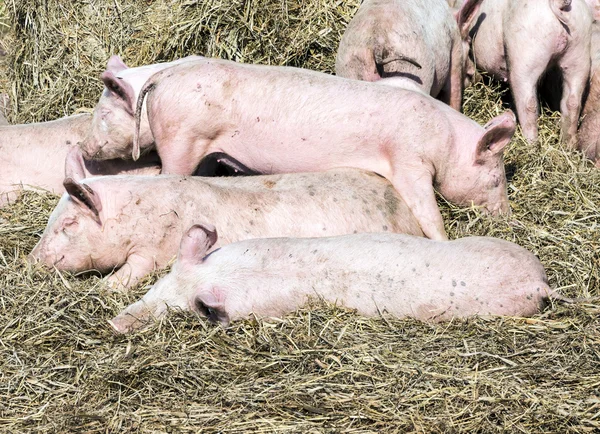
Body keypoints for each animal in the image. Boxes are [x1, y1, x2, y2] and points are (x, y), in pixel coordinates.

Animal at [336, 0, 480, 110]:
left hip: (351, 67)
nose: (477, 76)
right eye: (469, 42)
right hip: (415, 71)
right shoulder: (455, 48)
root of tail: (376, 43)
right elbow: (454, 90)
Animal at [472, 0, 592, 147]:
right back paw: (568, 146)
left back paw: (530, 144)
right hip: (580, 50)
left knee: (528, 103)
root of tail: (559, 4)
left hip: (525, 53)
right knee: (572, 102)